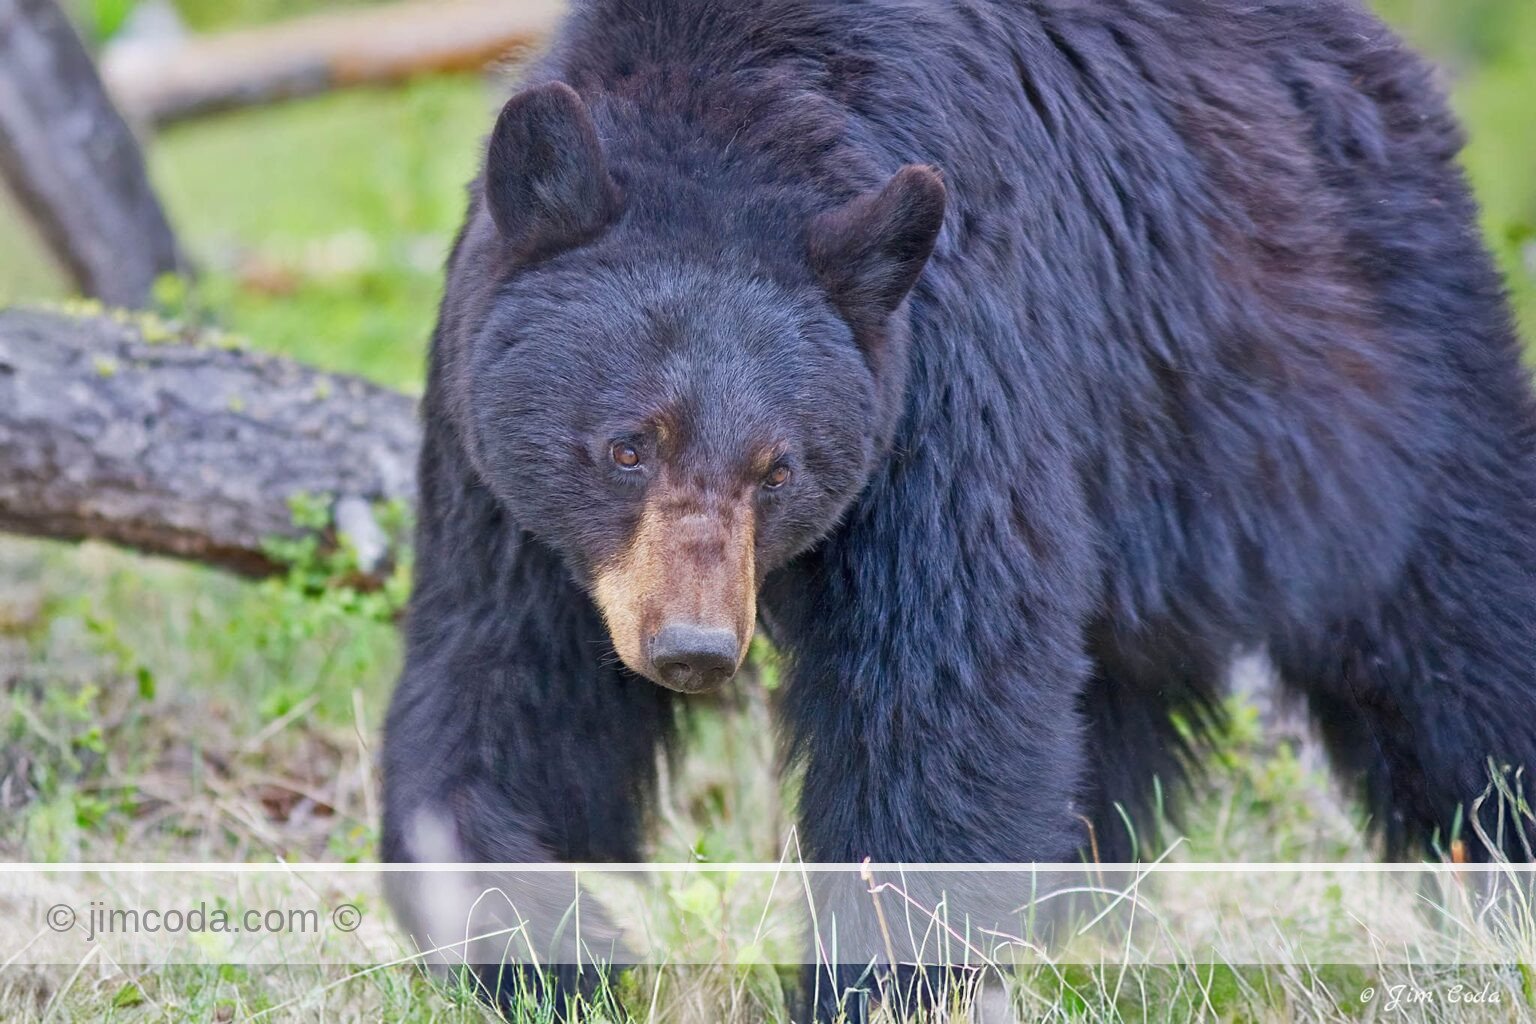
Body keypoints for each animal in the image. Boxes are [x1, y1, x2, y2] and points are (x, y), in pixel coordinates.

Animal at [382, 0, 1536, 1016]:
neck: (725, 105)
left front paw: (875, 989)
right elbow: (507, 692)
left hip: (1361, 375)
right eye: (629, 445)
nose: (696, 648)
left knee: (1455, 626)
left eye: (778, 469)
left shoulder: (945, 375)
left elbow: (945, 694)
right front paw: (552, 957)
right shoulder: (503, 478)